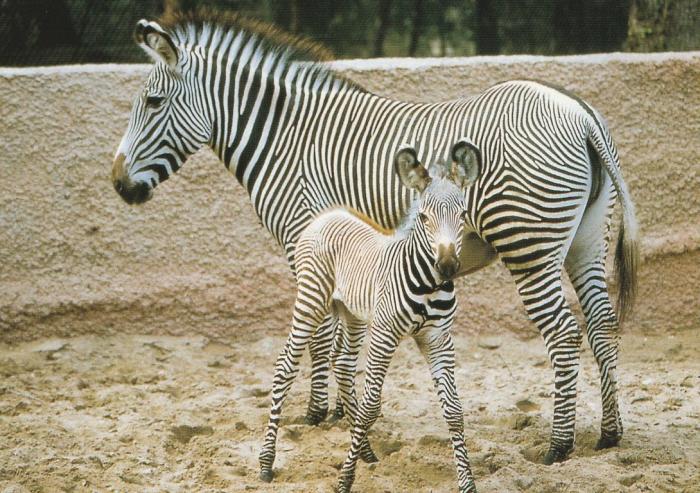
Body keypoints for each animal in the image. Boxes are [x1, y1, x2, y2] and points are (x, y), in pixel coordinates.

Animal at [259, 140, 482, 492]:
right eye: (423, 217)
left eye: (461, 216)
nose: (447, 267)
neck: (428, 284)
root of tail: (328, 214)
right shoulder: (385, 334)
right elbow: (370, 407)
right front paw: (344, 480)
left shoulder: (438, 338)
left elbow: (454, 411)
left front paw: (467, 483)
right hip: (311, 301)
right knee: (285, 367)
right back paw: (267, 462)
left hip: (352, 313)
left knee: (343, 365)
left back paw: (365, 451)